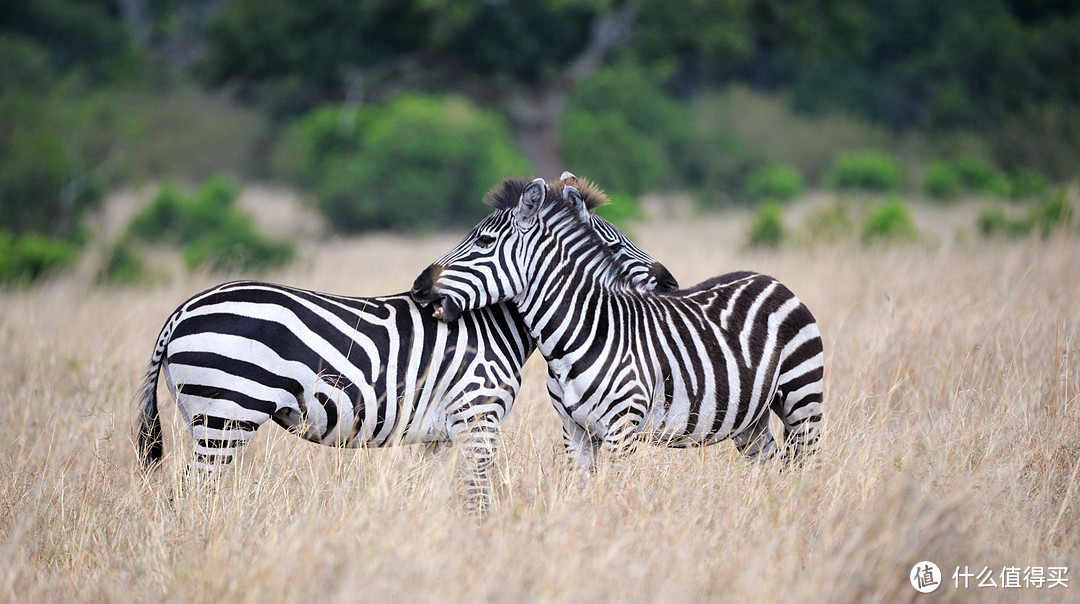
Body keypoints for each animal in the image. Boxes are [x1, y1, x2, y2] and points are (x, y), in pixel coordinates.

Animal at [135, 172, 673, 512]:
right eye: (613, 243)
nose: (669, 282)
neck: (496, 324)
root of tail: (181, 311)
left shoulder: (438, 436)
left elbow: (431, 497)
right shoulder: (478, 420)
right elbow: (479, 500)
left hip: (205, 417)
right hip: (225, 414)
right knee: (193, 495)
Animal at [408, 177, 820, 475]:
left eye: (483, 241)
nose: (417, 286)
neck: (577, 337)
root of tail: (768, 278)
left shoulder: (623, 431)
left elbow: (615, 493)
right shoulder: (574, 431)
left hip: (801, 397)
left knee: (806, 462)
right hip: (750, 418)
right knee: (771, 463)